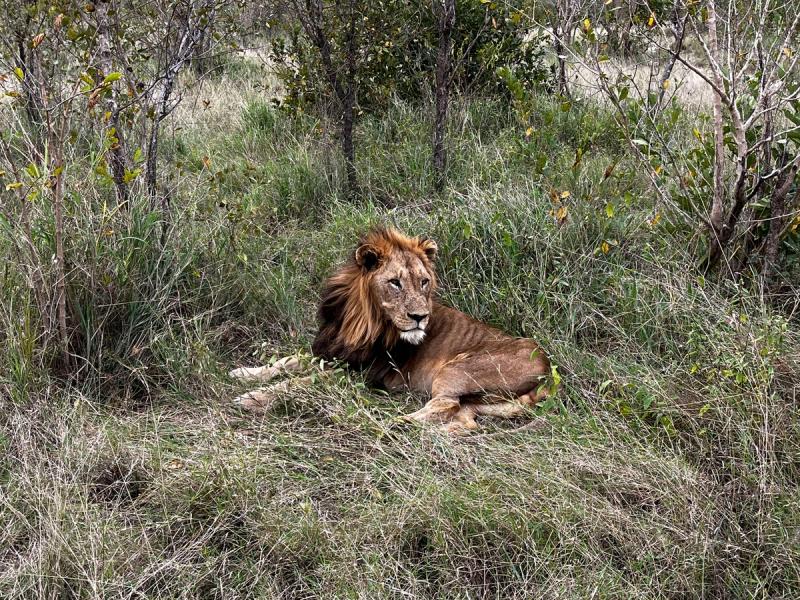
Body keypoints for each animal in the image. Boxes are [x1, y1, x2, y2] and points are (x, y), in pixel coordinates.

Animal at [230, 227, 551, 433]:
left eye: (424, 281)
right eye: (395, 282)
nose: (420, 317)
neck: (356, 320)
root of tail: (548, 367)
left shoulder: (357, 372)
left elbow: (300, 382)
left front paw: (253, 398)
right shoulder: (332, 352)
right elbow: (287, 361)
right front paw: (244, 373)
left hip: (456, 369)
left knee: (444, 406)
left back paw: (391, 423)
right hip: (478, 400)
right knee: (465, 422)